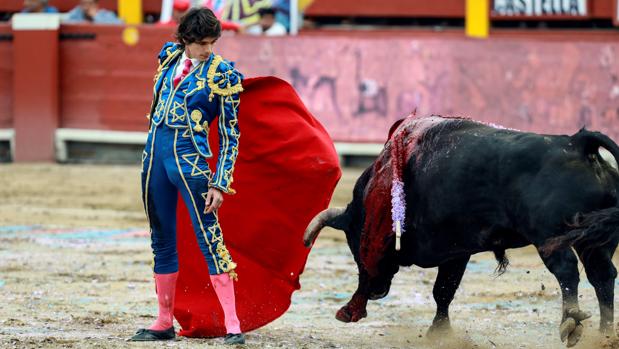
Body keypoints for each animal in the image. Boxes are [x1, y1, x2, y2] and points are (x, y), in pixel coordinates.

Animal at [302, 116, 619, 346]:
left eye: (356, 243)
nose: (377, 290)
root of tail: (577, 143)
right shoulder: (457, 251)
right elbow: (445, 290)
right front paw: (440, 331)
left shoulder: (451, 249)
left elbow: (442, 290)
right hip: (595, 241)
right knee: (602, 277)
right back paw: (604, 334)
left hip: (549, 237)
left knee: (568, 272)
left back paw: (571, 322)